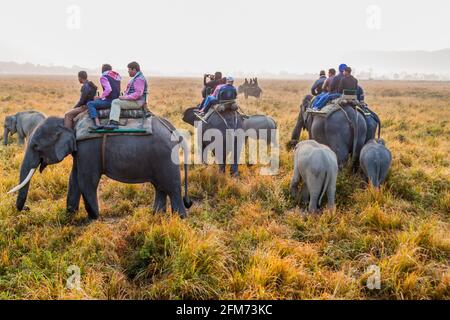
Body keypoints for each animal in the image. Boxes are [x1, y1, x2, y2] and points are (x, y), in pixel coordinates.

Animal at [7, 116, 192, 219]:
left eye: (35, 146)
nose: (27, 208)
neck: (69, 122)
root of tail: (175, 131)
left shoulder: (88, 148)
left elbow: (86, 180)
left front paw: (94, 217)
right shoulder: (80, 151)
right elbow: (74, 179)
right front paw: (70, 214)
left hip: (166, 157)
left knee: (171, 187)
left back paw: (180, 218)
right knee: (160, 186)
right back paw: (156, 215)